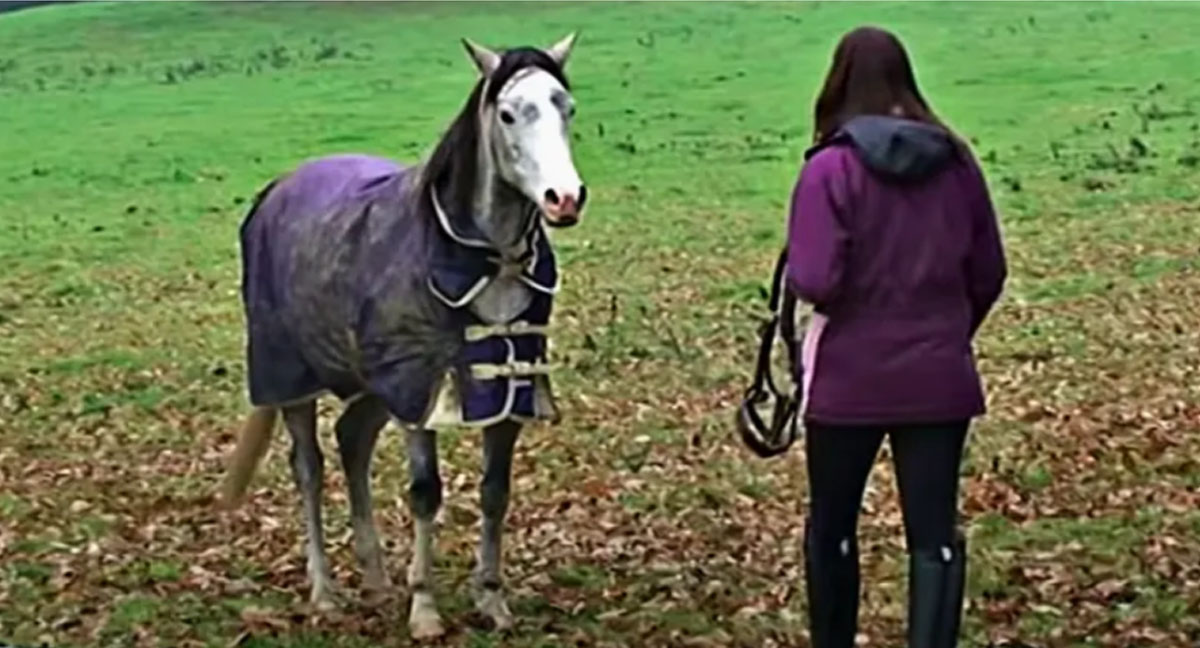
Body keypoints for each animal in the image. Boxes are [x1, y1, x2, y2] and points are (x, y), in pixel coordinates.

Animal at [218, 34, 588, 638]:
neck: (488, 262)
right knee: (309, 469)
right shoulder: (420, 393)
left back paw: (375, 578)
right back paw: (324, 592)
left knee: (352, 441)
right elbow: (424, 494)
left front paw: (491, 600)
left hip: (370, 383)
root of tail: (277, 190)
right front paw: (426, 609)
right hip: (293, 380)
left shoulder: (508, 393)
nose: (565, 198)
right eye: (508, 114)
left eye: (567, 108)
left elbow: (495, 491)